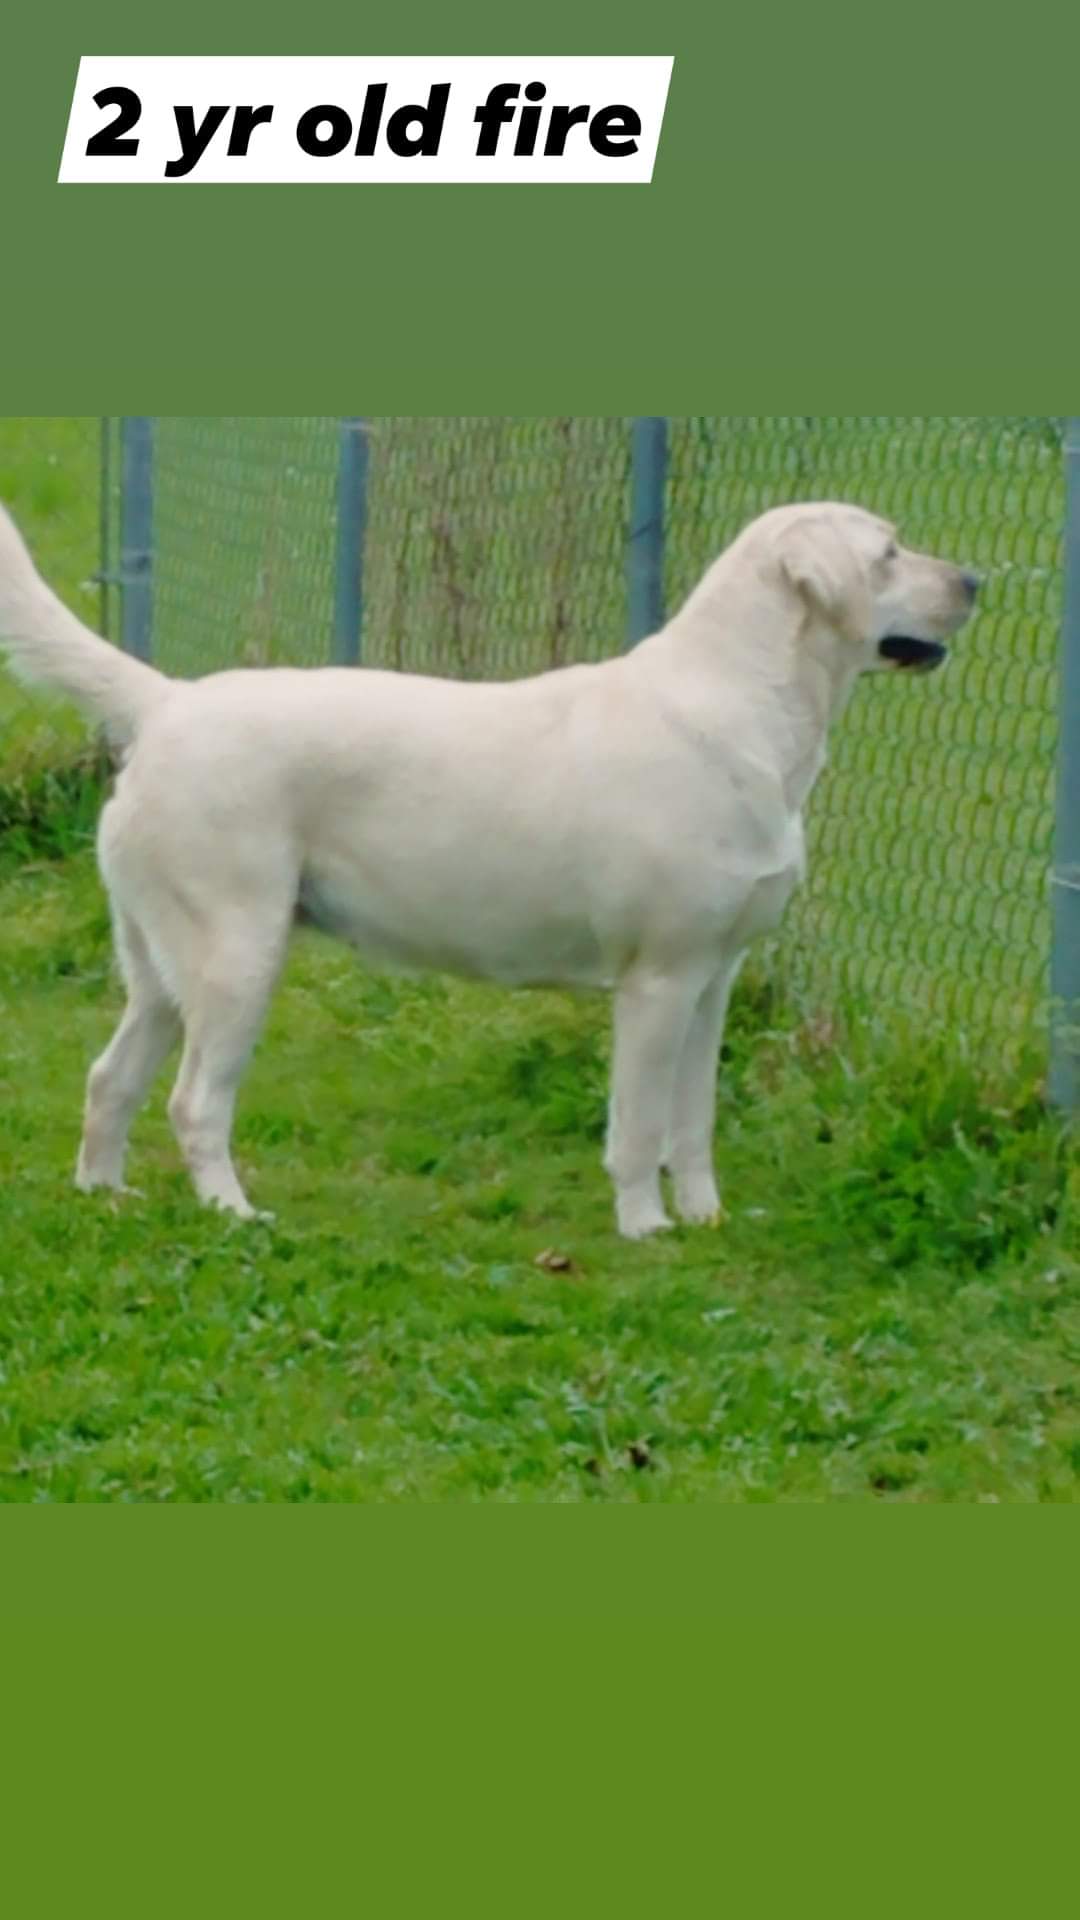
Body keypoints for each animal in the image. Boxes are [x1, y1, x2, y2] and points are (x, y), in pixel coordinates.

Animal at [0, 503, 976, 1236]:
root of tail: (170, 702)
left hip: (164, 969)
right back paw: (234, 1213)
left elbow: (692, 1123)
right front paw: (645, 1227)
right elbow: (639, 1125)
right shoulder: (659, 981)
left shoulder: (715, 980)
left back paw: (106, 1194)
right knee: (195, 1102)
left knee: (111, 1079)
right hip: (237, 957)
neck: (747, 708)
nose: (977, 582)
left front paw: (705, 1219)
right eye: (888, 554)